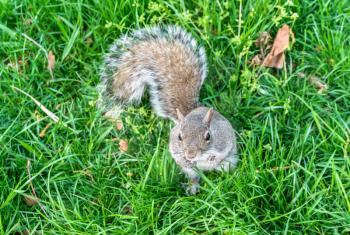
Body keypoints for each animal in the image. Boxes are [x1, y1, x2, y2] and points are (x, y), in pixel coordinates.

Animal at [95, 25, 238, 195]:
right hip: (192, 173)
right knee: (194, 177)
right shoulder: (176, 149)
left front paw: (211, 158)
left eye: (208, 136)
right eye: (179, 137)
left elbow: (220, 151)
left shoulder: (223, 139)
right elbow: (179, 157)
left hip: (229, 162)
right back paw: (192, 187)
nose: (190, 155)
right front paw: (187, 160)